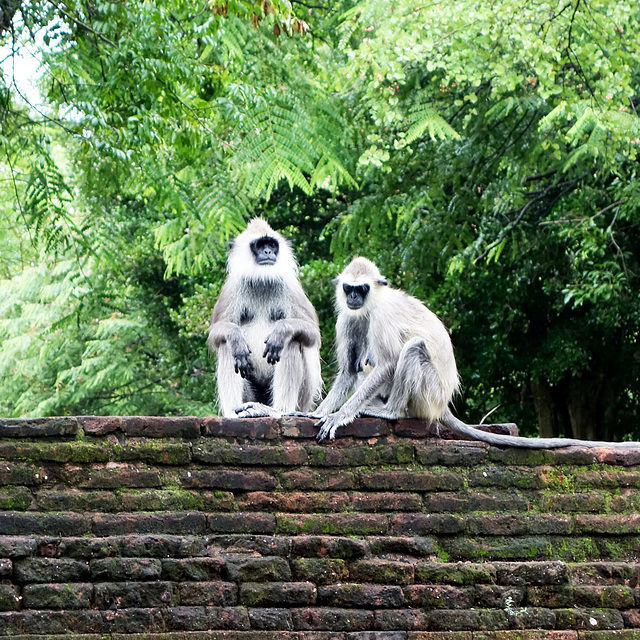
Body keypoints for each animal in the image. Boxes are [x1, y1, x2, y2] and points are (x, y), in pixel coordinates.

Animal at [209, 219, 322, 420]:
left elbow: (312, 332)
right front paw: (236, 338)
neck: (262, 280)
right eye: (260, 245)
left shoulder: (291, 285)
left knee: (292, 341)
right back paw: (234, 412)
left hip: (304, 397)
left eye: (272, 245)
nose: (268, 252)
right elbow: (217, 332)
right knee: (226, 345)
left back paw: (278, 411)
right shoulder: (232, 286)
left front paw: (281, 330)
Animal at [316, 256, 640, 450]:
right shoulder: (349, 317)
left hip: (428, 393)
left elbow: (386, 364)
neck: (370, 307)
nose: (354, 297)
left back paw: (390, 411)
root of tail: (443, 404)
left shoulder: (381, 315)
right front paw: (316, 411)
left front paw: (339, 416)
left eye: (362, 288)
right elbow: (348, 371)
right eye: (349, 288)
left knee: (412, 348)